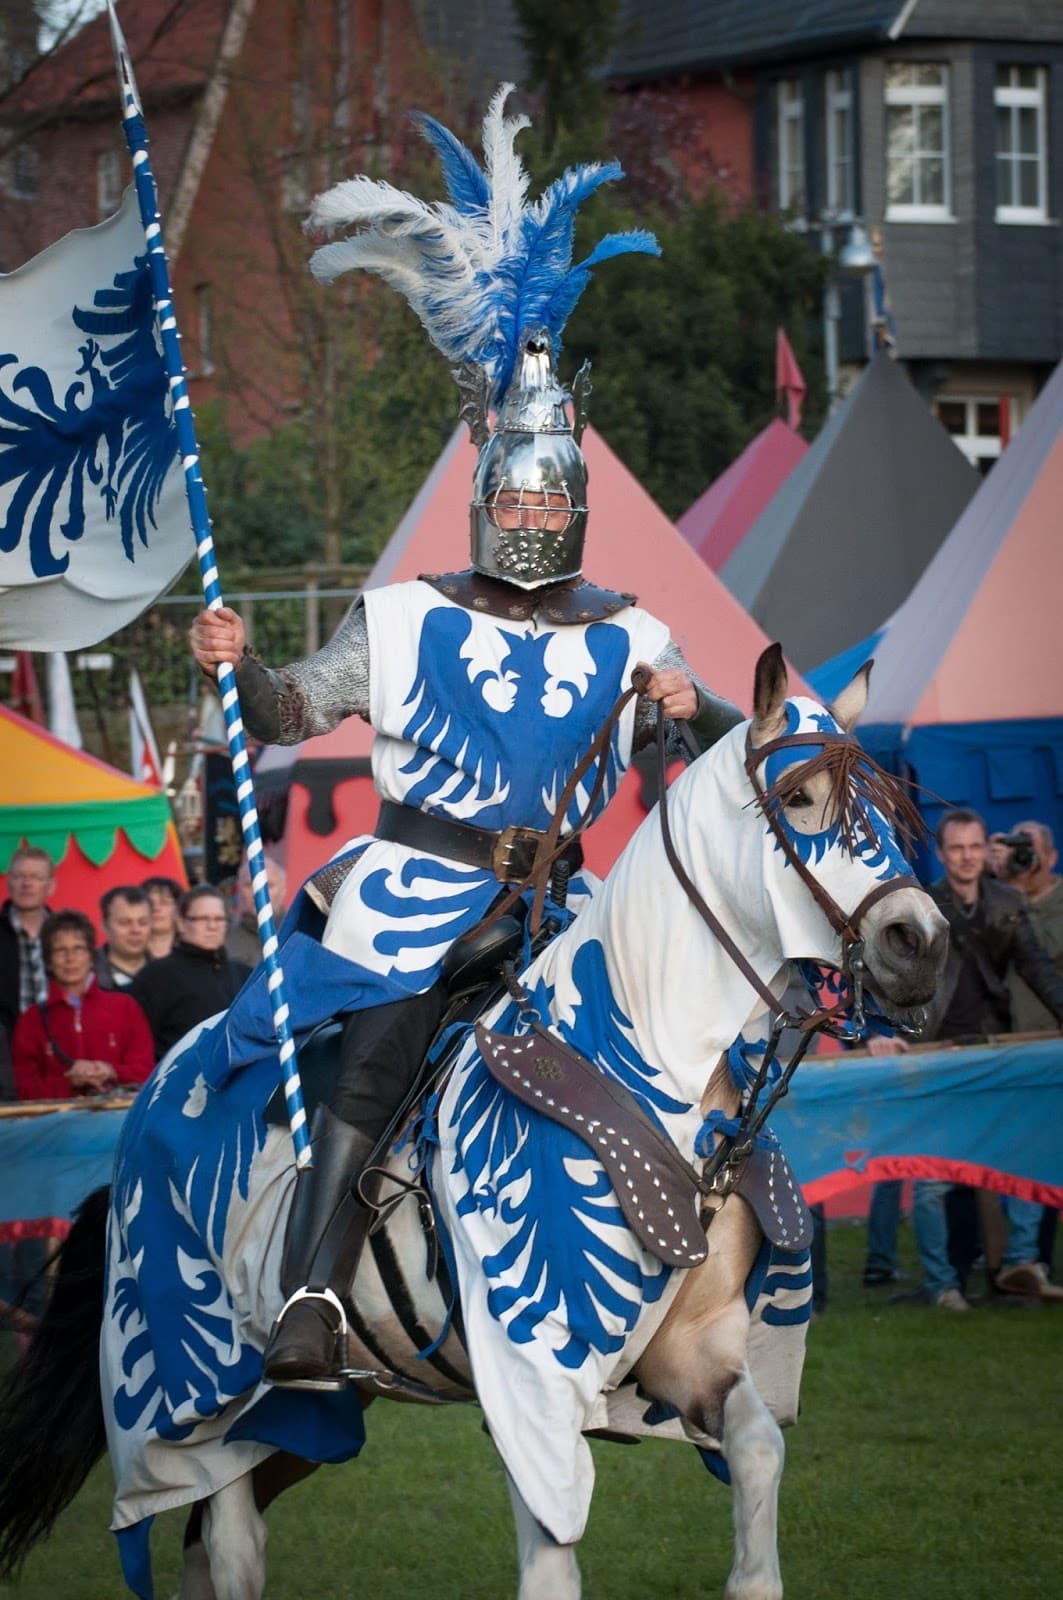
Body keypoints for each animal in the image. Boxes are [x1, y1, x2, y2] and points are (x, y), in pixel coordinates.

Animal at [0, 643, 947, 1593]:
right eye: (799, 798)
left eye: (888, 802)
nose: (921, 943)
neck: (656, 1070)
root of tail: (158, 1088)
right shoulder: (531, 1382)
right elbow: (552, 1561)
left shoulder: (696, 1355)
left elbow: (755, 1459)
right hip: (197, 1393)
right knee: (229, 1540)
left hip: (296, 1417)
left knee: (205, 1537)